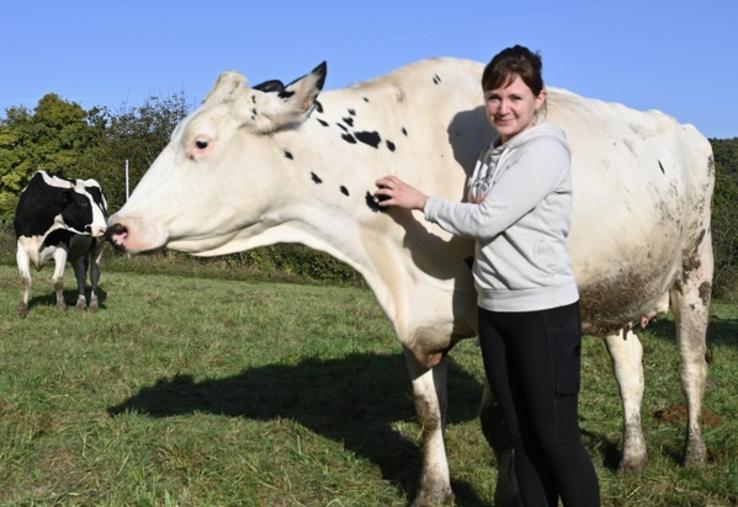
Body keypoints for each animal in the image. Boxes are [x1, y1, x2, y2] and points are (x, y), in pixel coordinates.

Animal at [15, 173, 108, 320]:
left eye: (98, 203)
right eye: (82, 202)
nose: (103, 229)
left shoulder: (61, 249)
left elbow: (57, 281)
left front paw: (61, 307)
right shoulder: (21, 248)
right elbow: (25, 280)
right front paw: (22, 309)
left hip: (98, 245)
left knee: (94, 274)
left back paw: (93, 304)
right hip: (76, 252)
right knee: (81, 274)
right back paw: (80, 304)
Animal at [106, 57, 712, 506]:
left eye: (202, 142)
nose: (118, 227)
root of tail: (688, 131)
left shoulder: (490, 317)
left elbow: (498, 421)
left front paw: (508, 493)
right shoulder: (415, 322)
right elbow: (428, 412)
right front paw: (433, 492)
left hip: (695, 273)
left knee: (690, 365)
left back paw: (695, 454)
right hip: (620, 290)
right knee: (629, 367)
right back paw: (632, 457)